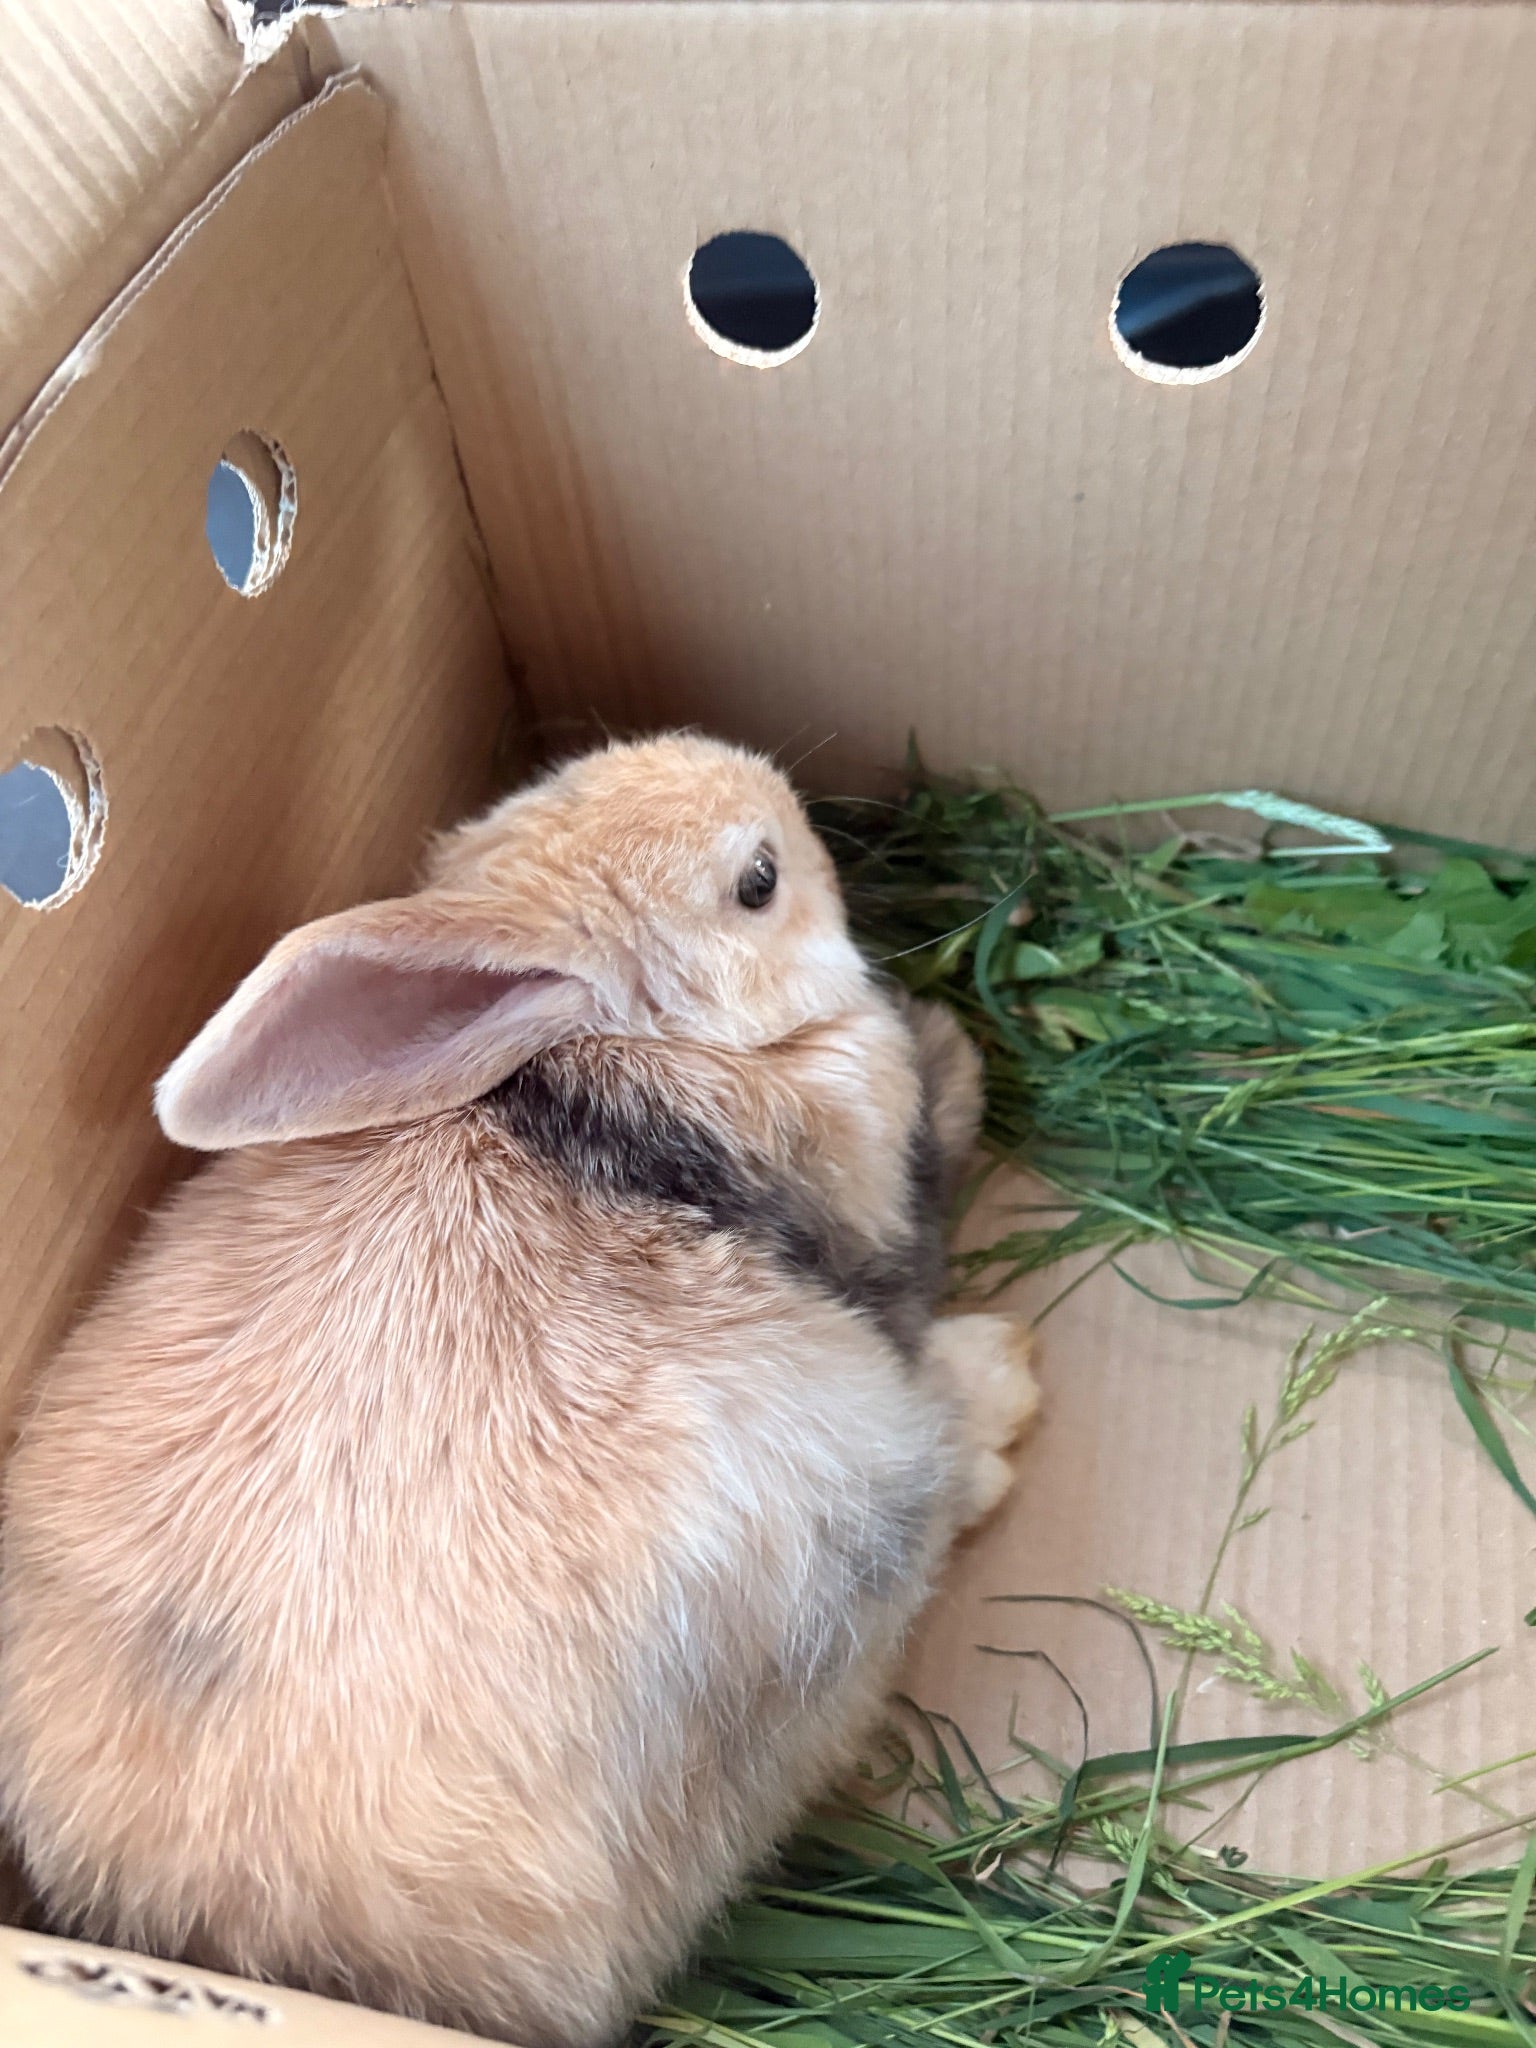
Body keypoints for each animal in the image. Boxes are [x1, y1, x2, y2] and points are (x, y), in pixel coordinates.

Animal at [0, 733, 1037, 2047]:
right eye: (755, 883)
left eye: (554, 778)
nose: (774, 786)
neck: (620, 1058)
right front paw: (955, 1051)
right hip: (855, 1491)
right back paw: (1001, 1385)